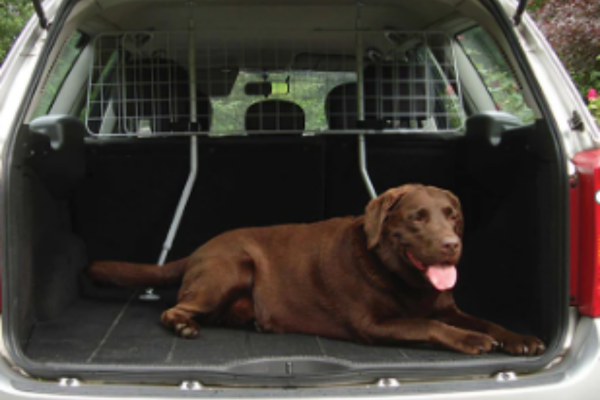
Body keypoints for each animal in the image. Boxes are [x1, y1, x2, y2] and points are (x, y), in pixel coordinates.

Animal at [88, 183, 544, 354]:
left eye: (453, 216)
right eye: (417, 218)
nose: (452, 246)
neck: (402, 278)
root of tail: (201, 247)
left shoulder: (448, 306)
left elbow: (485, 320)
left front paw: (519, 338)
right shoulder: (371, 324)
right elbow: (429, 325)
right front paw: (471, 340)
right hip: (230, 267)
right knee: (174, 310)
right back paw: (185, 326)